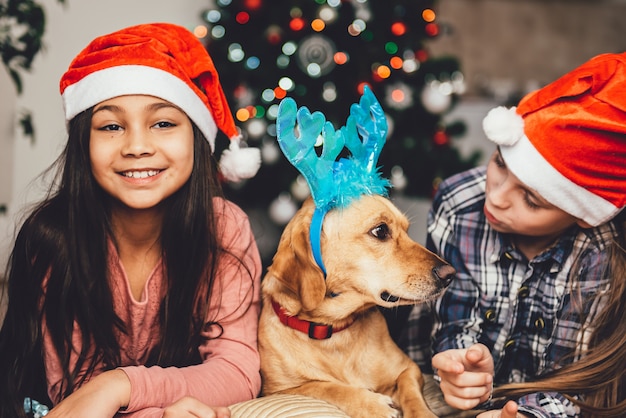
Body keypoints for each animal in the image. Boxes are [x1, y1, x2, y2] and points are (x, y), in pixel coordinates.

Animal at [256, 195, 450, 418]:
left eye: (407, 230)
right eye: (380, 230)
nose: (450, 274)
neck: (334, 331)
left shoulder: (409, 369)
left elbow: (411, 393)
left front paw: (422, 413)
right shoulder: (277, 391)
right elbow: (325, 387)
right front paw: (372, 405)